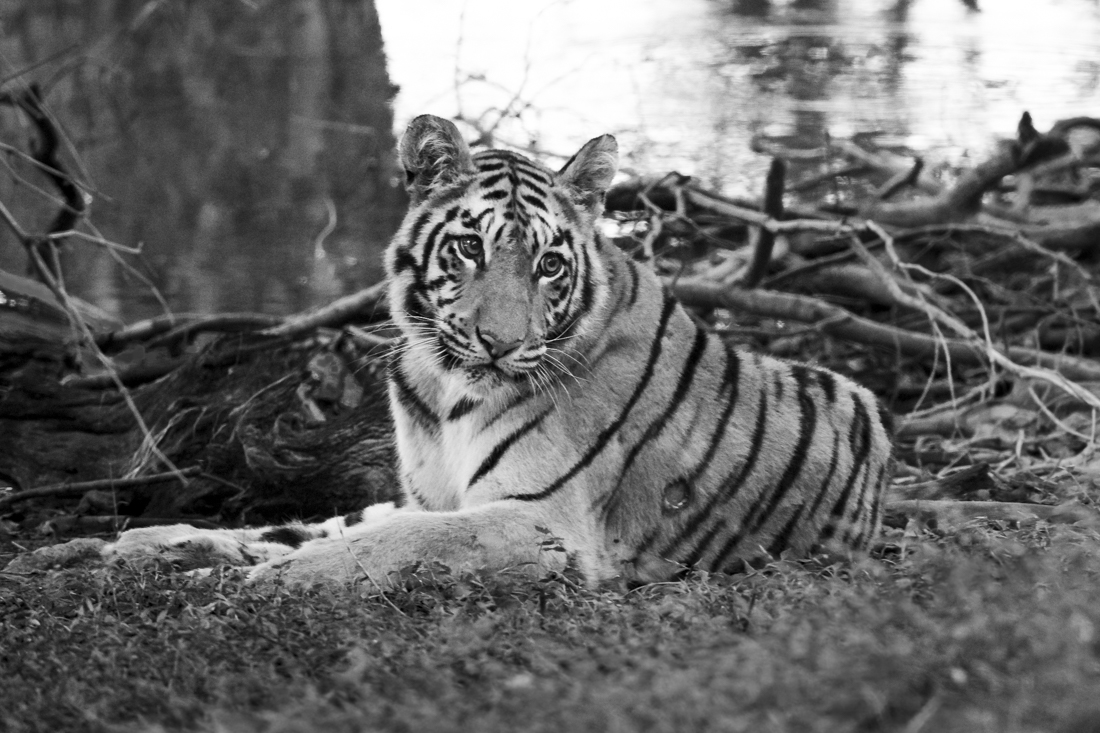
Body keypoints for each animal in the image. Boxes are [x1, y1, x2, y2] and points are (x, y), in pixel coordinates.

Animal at [101, 114, 894, 588]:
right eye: (470, 248)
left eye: (549, 264)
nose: (500, 344)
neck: (441, 385)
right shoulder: (417, 497)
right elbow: (293, 527)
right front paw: (125, 547)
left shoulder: (538, 517)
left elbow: (384, 546)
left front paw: (262, 579)